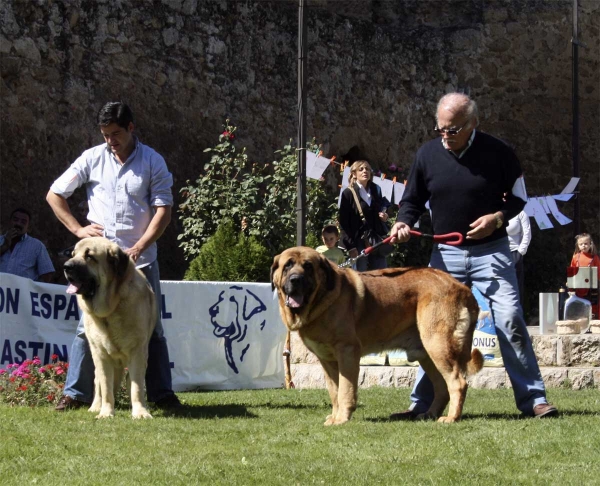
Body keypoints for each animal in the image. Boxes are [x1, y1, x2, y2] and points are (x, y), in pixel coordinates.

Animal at [63, 237, 156, 420]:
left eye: (89, 256)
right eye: (73, 254)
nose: (66, 266)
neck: (111, 308)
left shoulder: (138, 352)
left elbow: (136, 386)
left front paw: (140, 412)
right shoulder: (100, 355)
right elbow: (105, 387)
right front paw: (106, 412)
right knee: (98, 383)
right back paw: (95, 407)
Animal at [270, 247, 482, 426]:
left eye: (308, 266)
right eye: (287, 265)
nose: (295, 279)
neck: (320, 299)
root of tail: (464, 289)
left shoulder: (347, 352)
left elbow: (345, 389)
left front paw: (342, 419)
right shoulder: (326, 360)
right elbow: (334, 390)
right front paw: (335, 416)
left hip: (438, 344)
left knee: (458, 383)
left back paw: (451, 418)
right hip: (427, 353)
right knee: (441, 386)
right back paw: (429, 414)